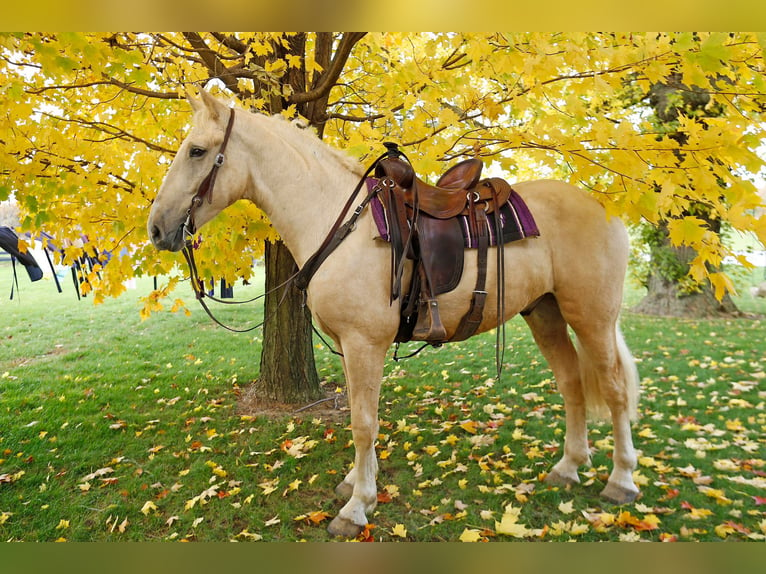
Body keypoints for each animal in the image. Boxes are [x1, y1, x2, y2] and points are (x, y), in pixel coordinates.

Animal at [148, 92, 640, 544]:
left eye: (197, 151)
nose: (156, 228)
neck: (337, 223)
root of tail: (606, 208)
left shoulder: (364, 344)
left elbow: (363, 424)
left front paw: (357, 506)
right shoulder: (348, 347)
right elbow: (359, 416)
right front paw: (356, 482)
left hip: (592, 317)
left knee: (614, 390)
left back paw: (622, 480)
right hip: (545, 313)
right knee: (572, 383)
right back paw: (568, 467)